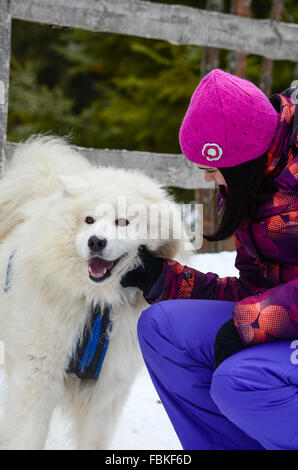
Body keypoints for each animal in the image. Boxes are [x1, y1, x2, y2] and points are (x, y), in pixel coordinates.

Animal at [0, 135, 192, 448]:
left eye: (122, 221)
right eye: (88, 219)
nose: (96, 242)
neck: (96, 303)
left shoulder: (108, 389)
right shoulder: (38, 376)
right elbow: (28, 436)